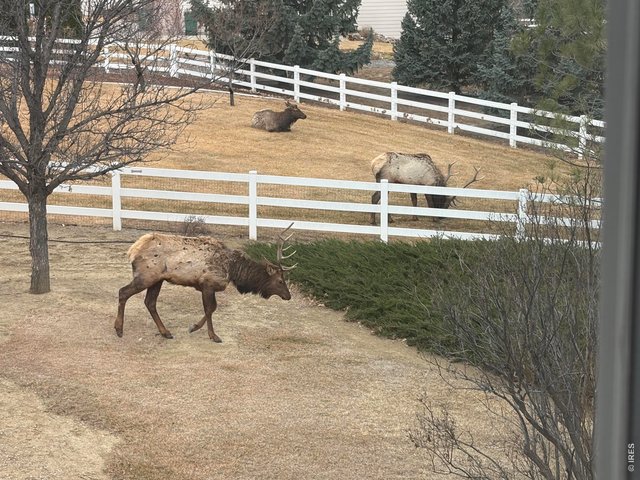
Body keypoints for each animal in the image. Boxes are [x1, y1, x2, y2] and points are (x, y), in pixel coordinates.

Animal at [114, 224, 297, 343]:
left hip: (157, 279)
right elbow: (210, 309)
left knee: (150, 302)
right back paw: (119, 329)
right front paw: (212, 335)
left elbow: (211, 309)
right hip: (146, 276)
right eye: (280, 281)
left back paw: (165, 332)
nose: (288, 296)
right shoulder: (208, 284)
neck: (232, 270)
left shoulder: (206, 287)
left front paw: (194, 327)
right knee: (123, 292)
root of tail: (132, 250)